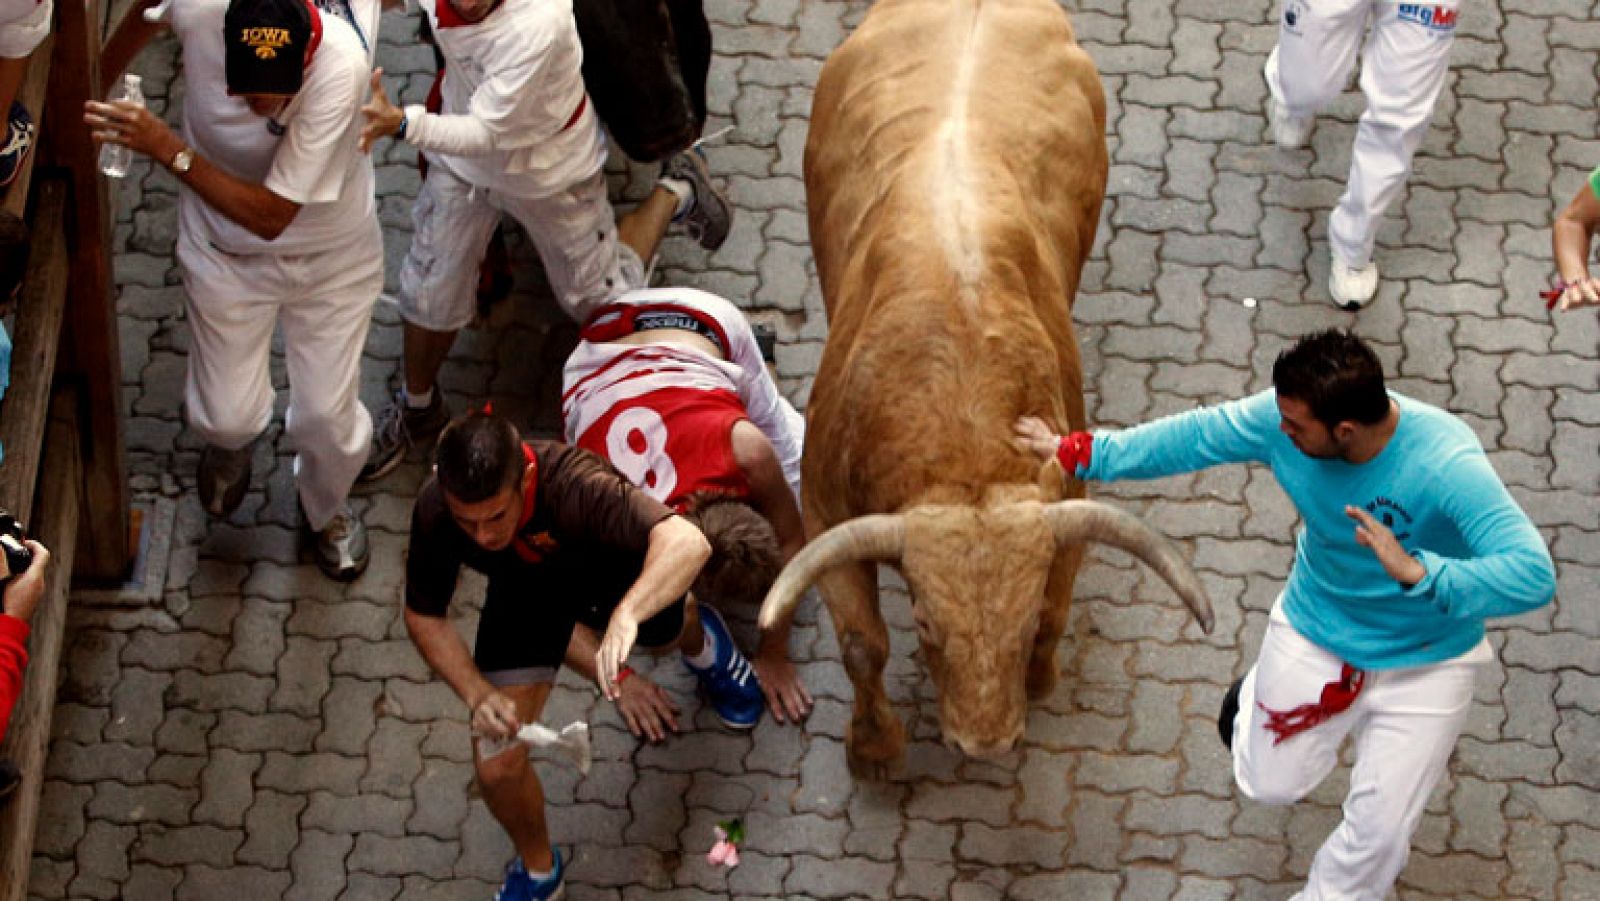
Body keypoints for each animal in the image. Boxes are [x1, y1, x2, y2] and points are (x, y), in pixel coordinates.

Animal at [761, 0, 1209, 771]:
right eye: (924, 622)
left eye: (1020, 624)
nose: (985, 740)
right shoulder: (820, 503)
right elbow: (862, 644)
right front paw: (874, 748)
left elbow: (1058, 605)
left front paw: (1039, 676)